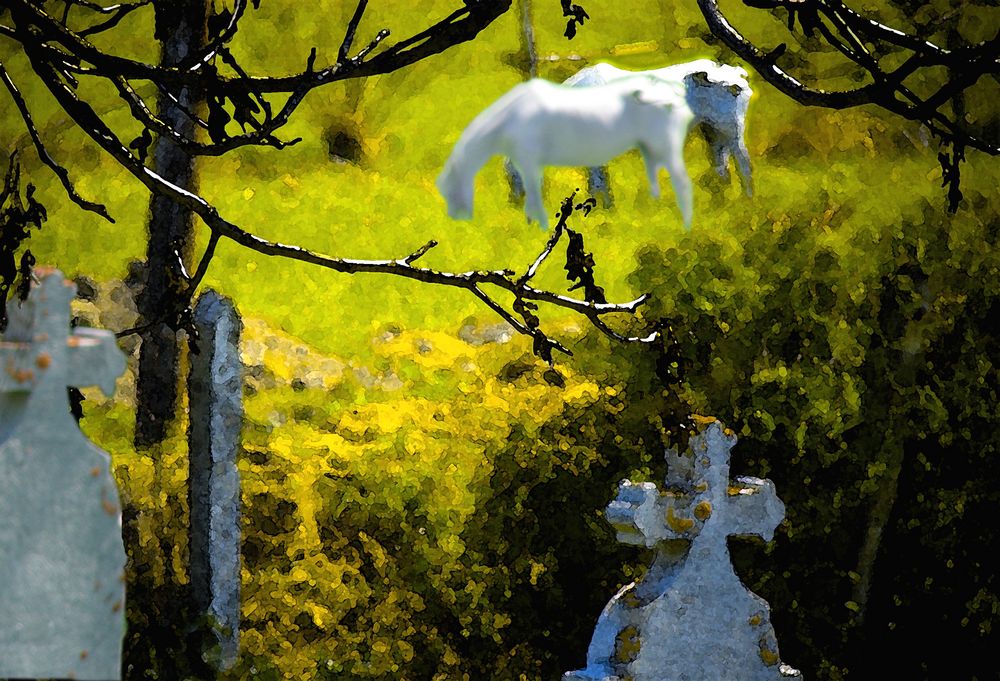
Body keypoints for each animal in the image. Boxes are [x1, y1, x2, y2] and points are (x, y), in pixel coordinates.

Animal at [434, 73, 700, 230]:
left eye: (448, 192)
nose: (458, 223)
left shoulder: (528, 160)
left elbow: (535, 196)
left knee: (683, 185)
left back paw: (685, 229)